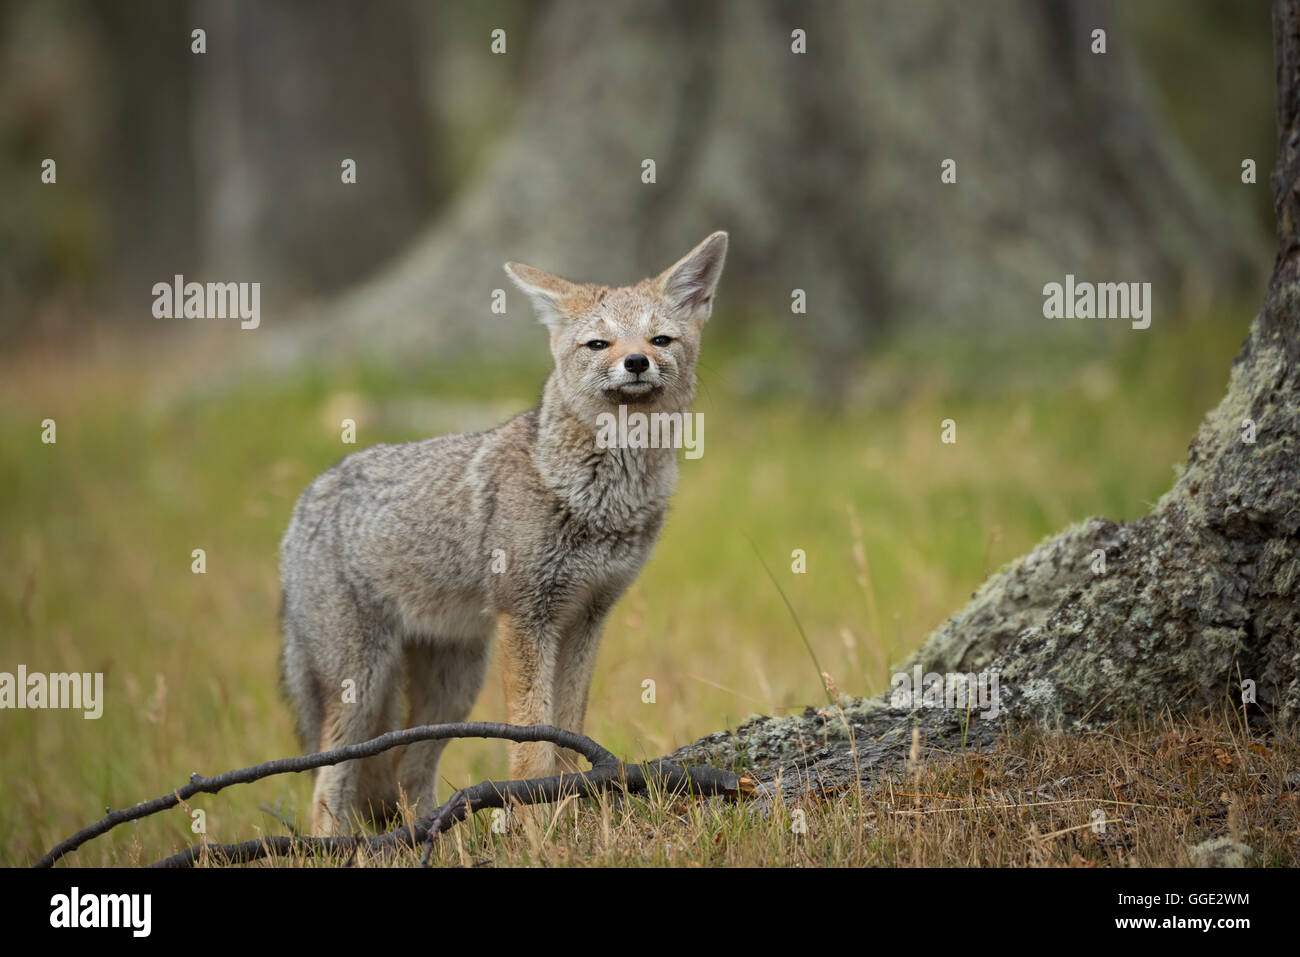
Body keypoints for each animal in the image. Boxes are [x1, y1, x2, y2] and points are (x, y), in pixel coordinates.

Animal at [278, 234, 728, 837]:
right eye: (599, 343)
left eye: (660, 339)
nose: (637, 361)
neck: (601, 497)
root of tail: (309, 497)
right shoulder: (526, 618)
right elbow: (531, 749)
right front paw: (537, 830)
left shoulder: (586, 619)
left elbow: (567, 737)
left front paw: (568, 818)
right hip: (362, 683)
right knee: (330, 783)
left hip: (455, 685)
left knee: (406, 768)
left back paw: (432, 840)